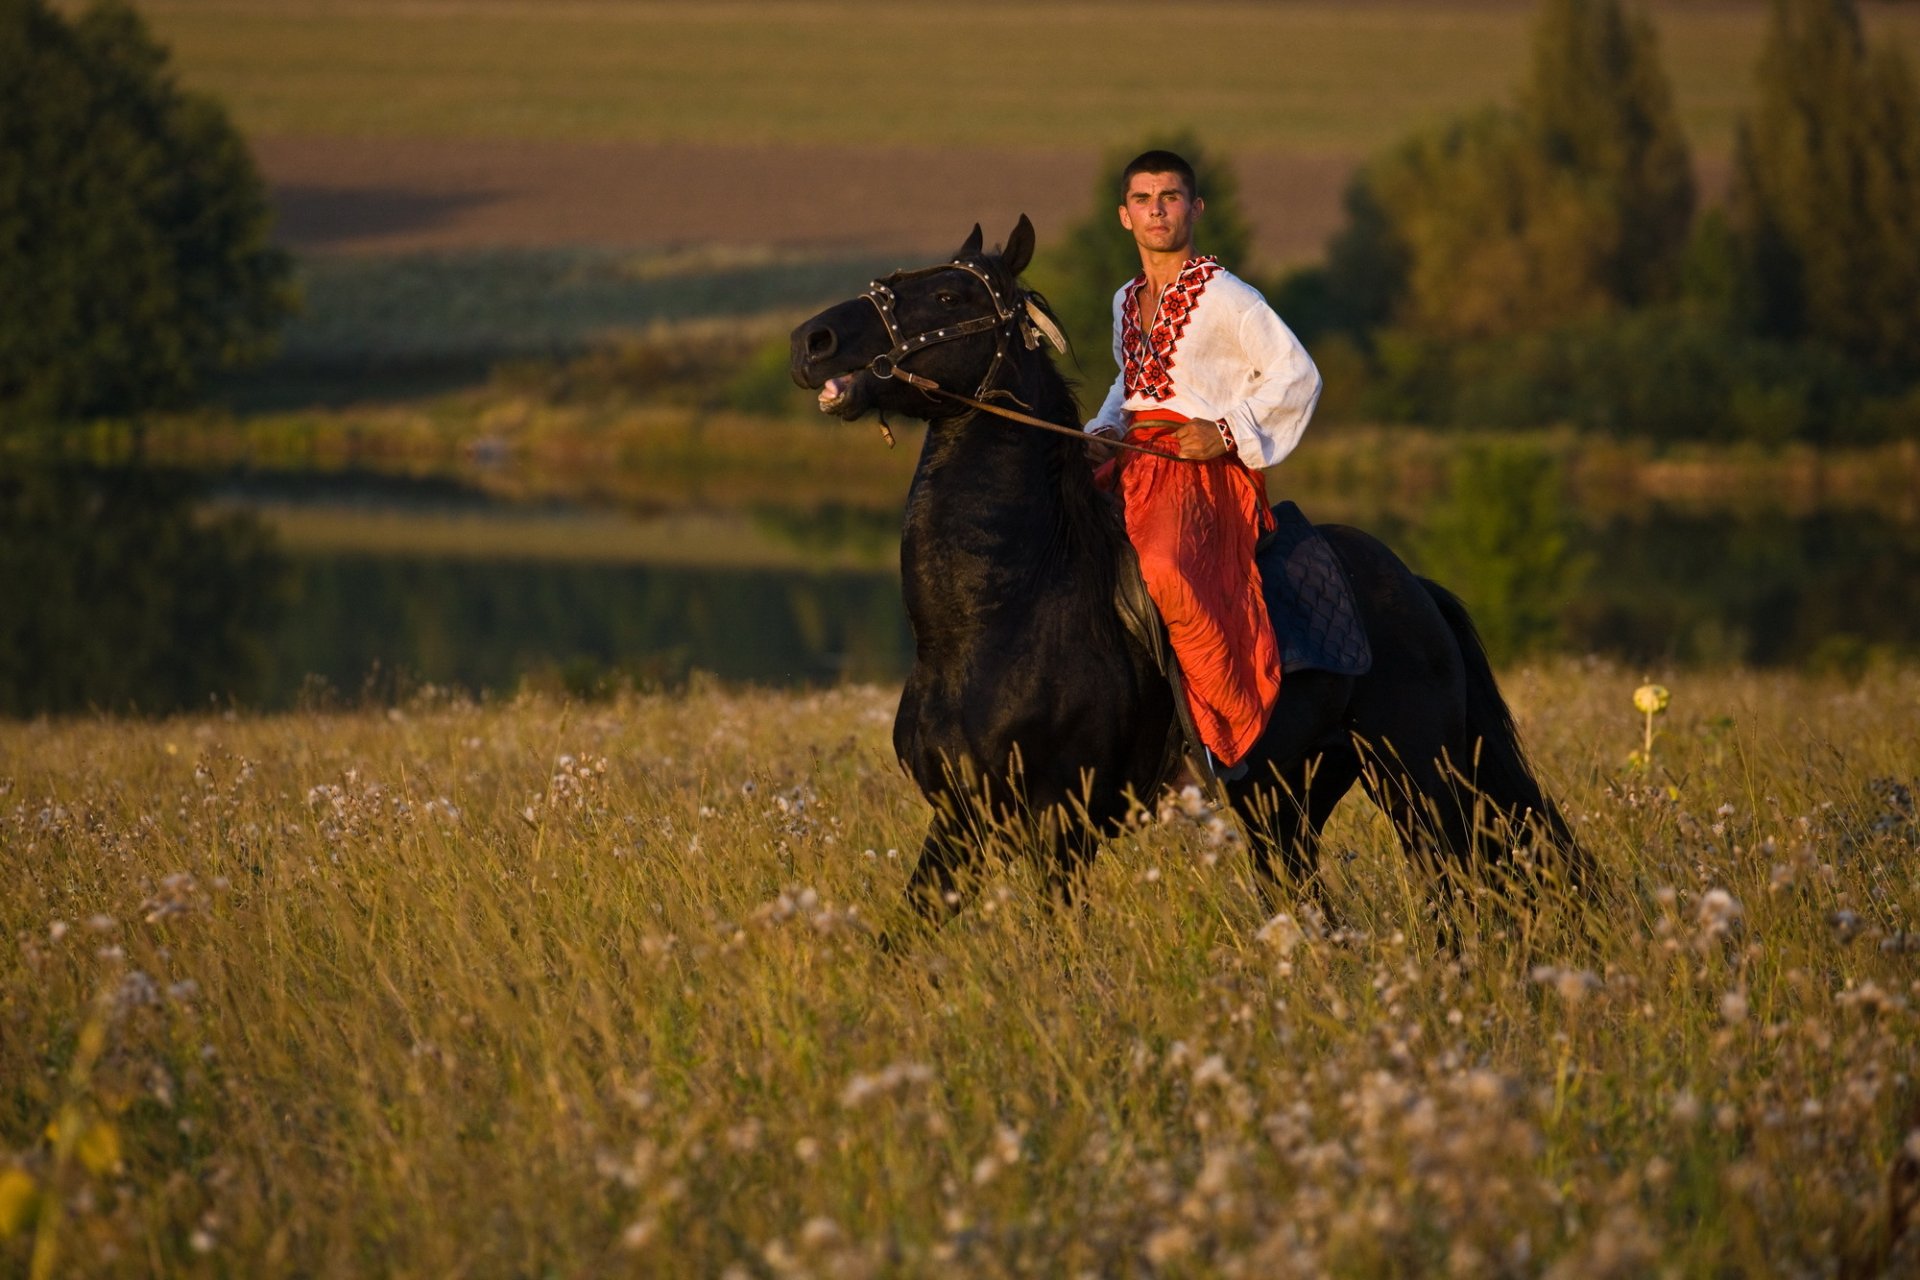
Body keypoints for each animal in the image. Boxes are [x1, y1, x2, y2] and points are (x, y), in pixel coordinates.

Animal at [788, 216, 1582, 930]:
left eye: (951, 297)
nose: (810, 343)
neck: (994, 618)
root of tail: (1415, 587)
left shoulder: (1061, 826)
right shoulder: (960, 817)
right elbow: (903, 938)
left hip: (1422, 776)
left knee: (1461, 891)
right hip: (1286, 799)